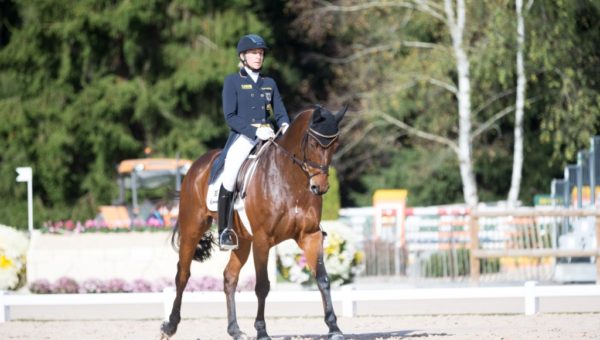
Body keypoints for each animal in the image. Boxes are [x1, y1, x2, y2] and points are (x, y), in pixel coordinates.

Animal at [159, 105, 346, 340]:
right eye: (313, 144)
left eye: (336, 145)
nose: (319, 187)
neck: (290, 180)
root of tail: (196, 166)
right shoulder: (262, 240)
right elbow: (262, 286)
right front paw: (262, 330)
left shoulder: (310, 236)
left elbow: (323, 279)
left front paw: (334, 328)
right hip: (192, 228)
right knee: (183, 274)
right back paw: (170, 326)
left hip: (241, 240)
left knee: (229, 277)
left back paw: (235, 329)